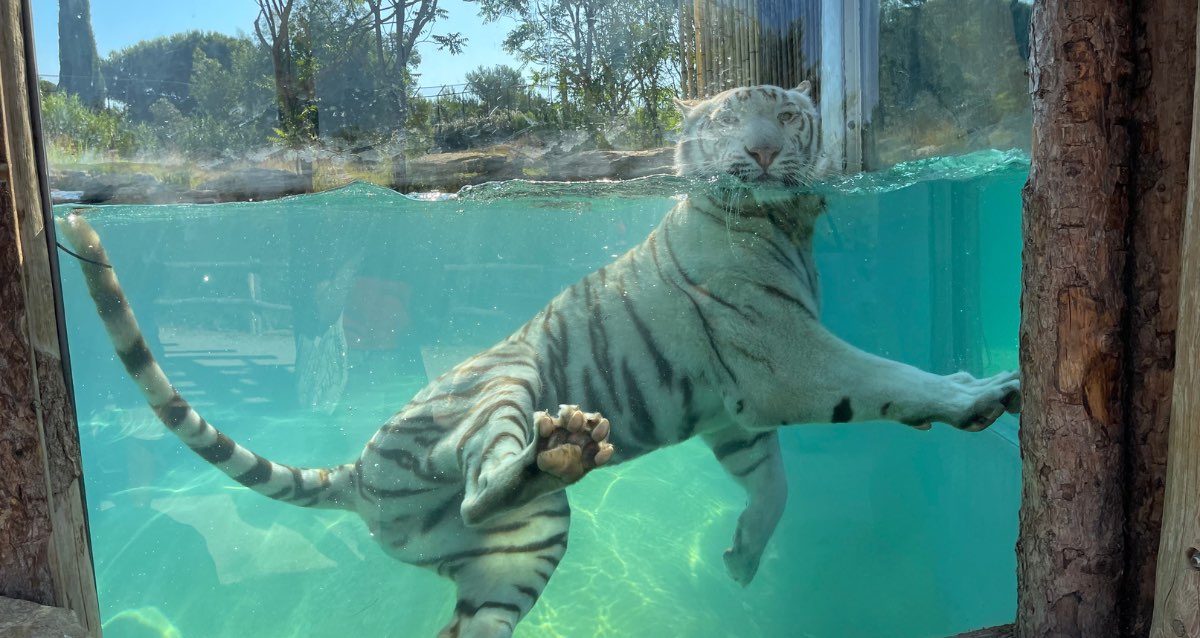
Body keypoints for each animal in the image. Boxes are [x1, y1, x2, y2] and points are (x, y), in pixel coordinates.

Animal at [60, 83, 1022, 638]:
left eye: (787, 116)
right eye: (725, 123)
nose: (760, 151)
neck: (784, 220)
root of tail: (359, 470)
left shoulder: (734, 410)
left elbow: (773, 482)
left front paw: (744, 559)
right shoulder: (787, 359)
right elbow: (888, 377)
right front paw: (979, 390)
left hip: (519, 550)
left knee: (472, 597)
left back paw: (562, 457)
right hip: (503, 383)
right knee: (487, 475)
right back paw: (563, 442)